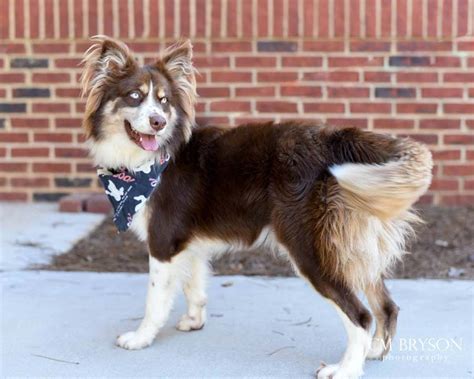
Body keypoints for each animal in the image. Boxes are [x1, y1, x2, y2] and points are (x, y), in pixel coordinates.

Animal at [80, 36, 434, 379]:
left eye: (164, 101)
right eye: (134, 96)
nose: (158, 121)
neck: (151, 160)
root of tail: (334, 138)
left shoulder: (164, 242)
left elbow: (155, 301)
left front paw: (141, 338)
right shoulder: (188, 242)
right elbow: (194, 285)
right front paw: (194, 321)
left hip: (310, 249)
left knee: (360, 315)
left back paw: (346, 369)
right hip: (353, 246)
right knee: (386, 306)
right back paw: (373, 352)